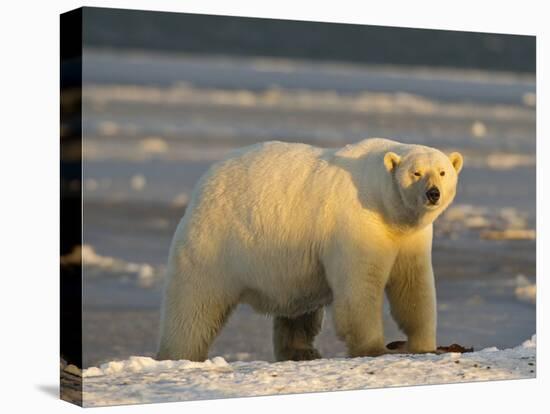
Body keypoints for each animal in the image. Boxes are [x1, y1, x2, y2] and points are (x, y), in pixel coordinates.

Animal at [157, 137, 464, 360]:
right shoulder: (357, 224)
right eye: (416, 173)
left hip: (289, 263)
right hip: (216, 240)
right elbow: (359, 288)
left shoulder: (409, 237)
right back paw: (177, 353)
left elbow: (413, 286)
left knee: (298, 311)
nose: (433, 193)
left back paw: (302, 350)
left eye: (442, 171)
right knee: (194, 303)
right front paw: (373, 348)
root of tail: (205, 181)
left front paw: (424, 344)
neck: (384, 205)